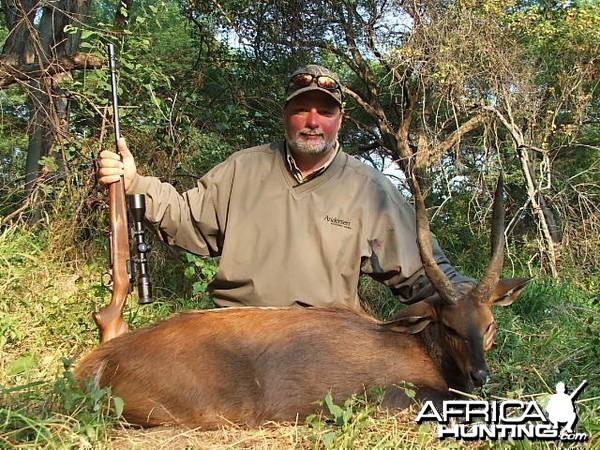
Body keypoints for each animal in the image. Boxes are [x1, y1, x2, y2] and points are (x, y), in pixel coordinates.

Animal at [75, 176, 528, 428]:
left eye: (488, 325)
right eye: (449, 325)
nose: (480, 376)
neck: (421, 347)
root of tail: (101, 360)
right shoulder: (394, 396)